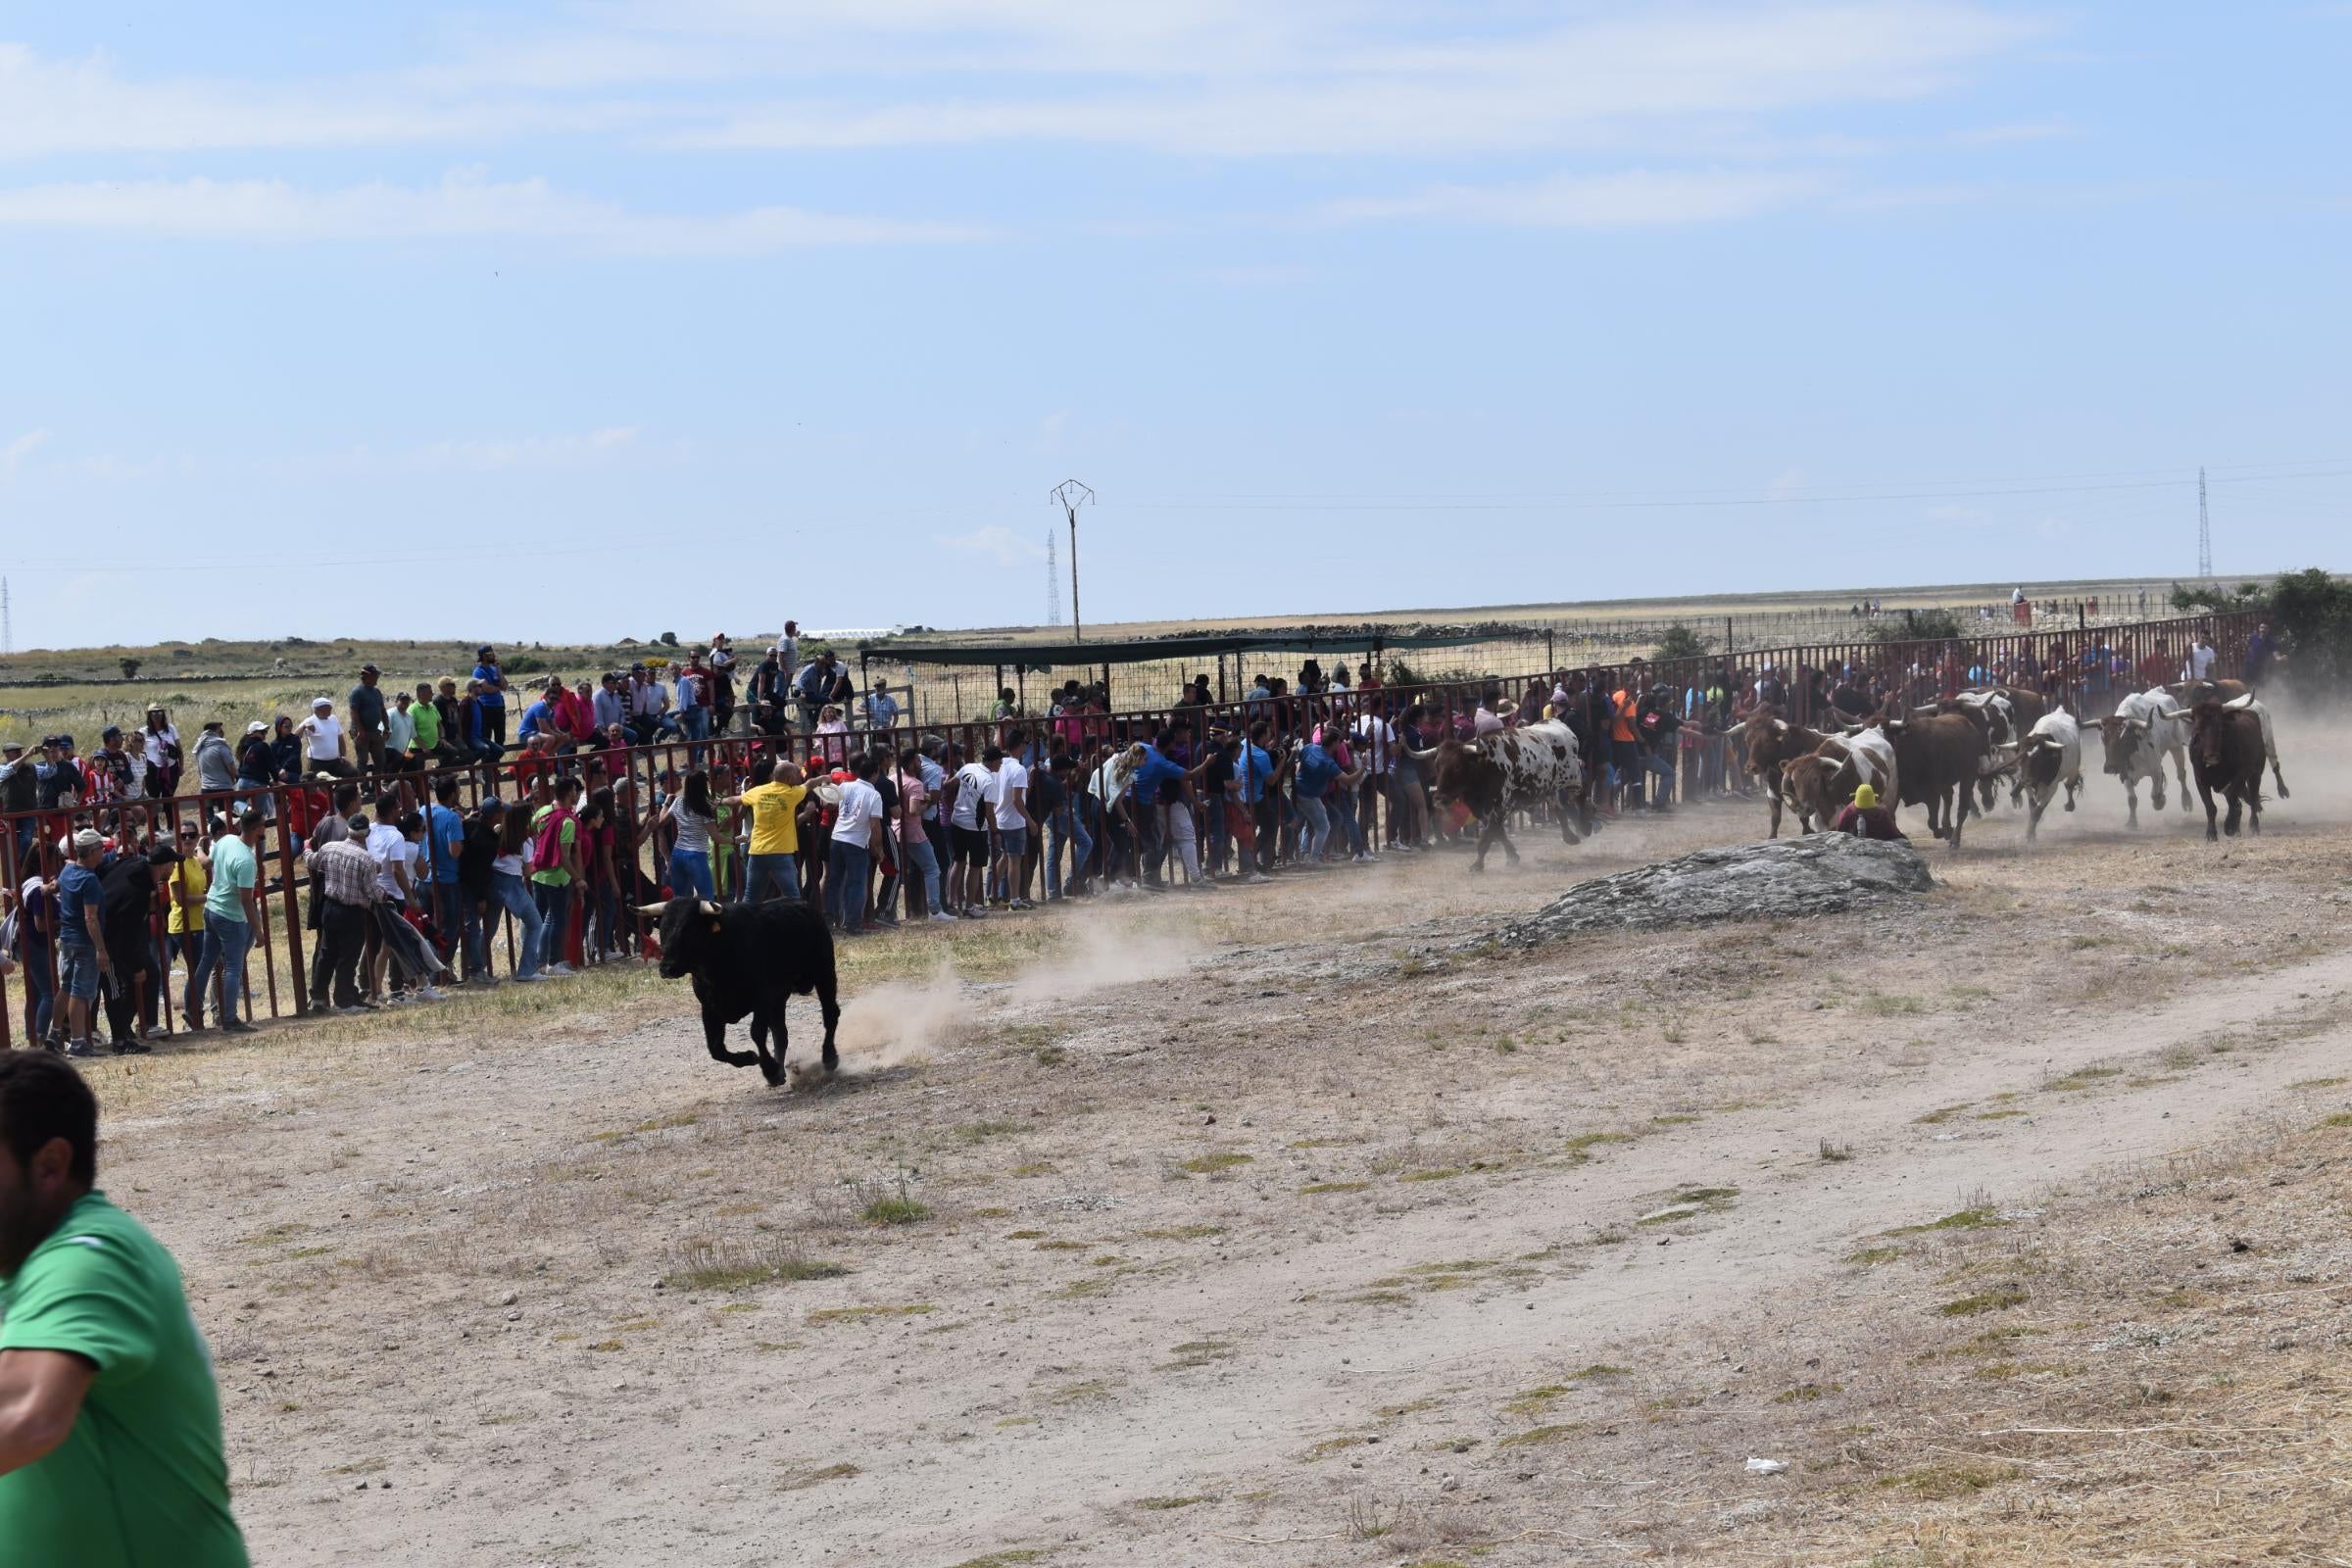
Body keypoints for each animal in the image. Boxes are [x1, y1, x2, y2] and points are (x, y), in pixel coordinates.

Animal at [644, 893, 847, 1091]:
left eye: (689, 928)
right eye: (663, 927)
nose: (666, 968)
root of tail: (804, 905)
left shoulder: (762, 1000)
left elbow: (756, 1032)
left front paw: (770, 1070)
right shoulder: (709, 1008)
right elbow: (716, 1048)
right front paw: (752, 1059)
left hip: (824, 974)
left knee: (830, 1014)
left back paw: (829, 1058)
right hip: (780, 998)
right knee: (780, 1032)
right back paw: (781, 1070)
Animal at [2182, 700, 2258, 841]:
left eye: (2220, 729)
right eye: (2198, 730)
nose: (2211, 757)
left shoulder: (2240, 774)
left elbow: (2232, 799)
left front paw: (2229, 827)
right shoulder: (2200, 779)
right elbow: (2210, 806)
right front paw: (2211, 834)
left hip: (2256, 773)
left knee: (2253, 799)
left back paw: (2254, 827)